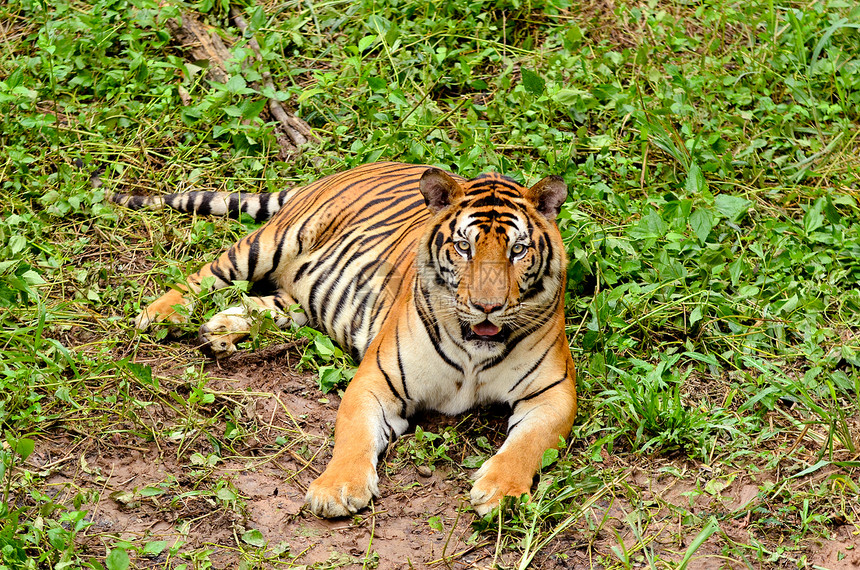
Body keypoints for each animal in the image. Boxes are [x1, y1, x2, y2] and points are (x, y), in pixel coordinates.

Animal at [109, 160, 576, 516]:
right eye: (464, 247)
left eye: (518, 250)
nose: (487, 306)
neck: (475, 352)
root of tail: (350, 169)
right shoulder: (377, 379)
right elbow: (353, 436)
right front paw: (336, 491)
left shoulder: (553, 392)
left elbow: (527, 444)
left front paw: (501, 493)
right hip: (269, 243)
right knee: (204, 274)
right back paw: (159, 315)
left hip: (296, 299)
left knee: (263, 304)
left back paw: (219, 333)